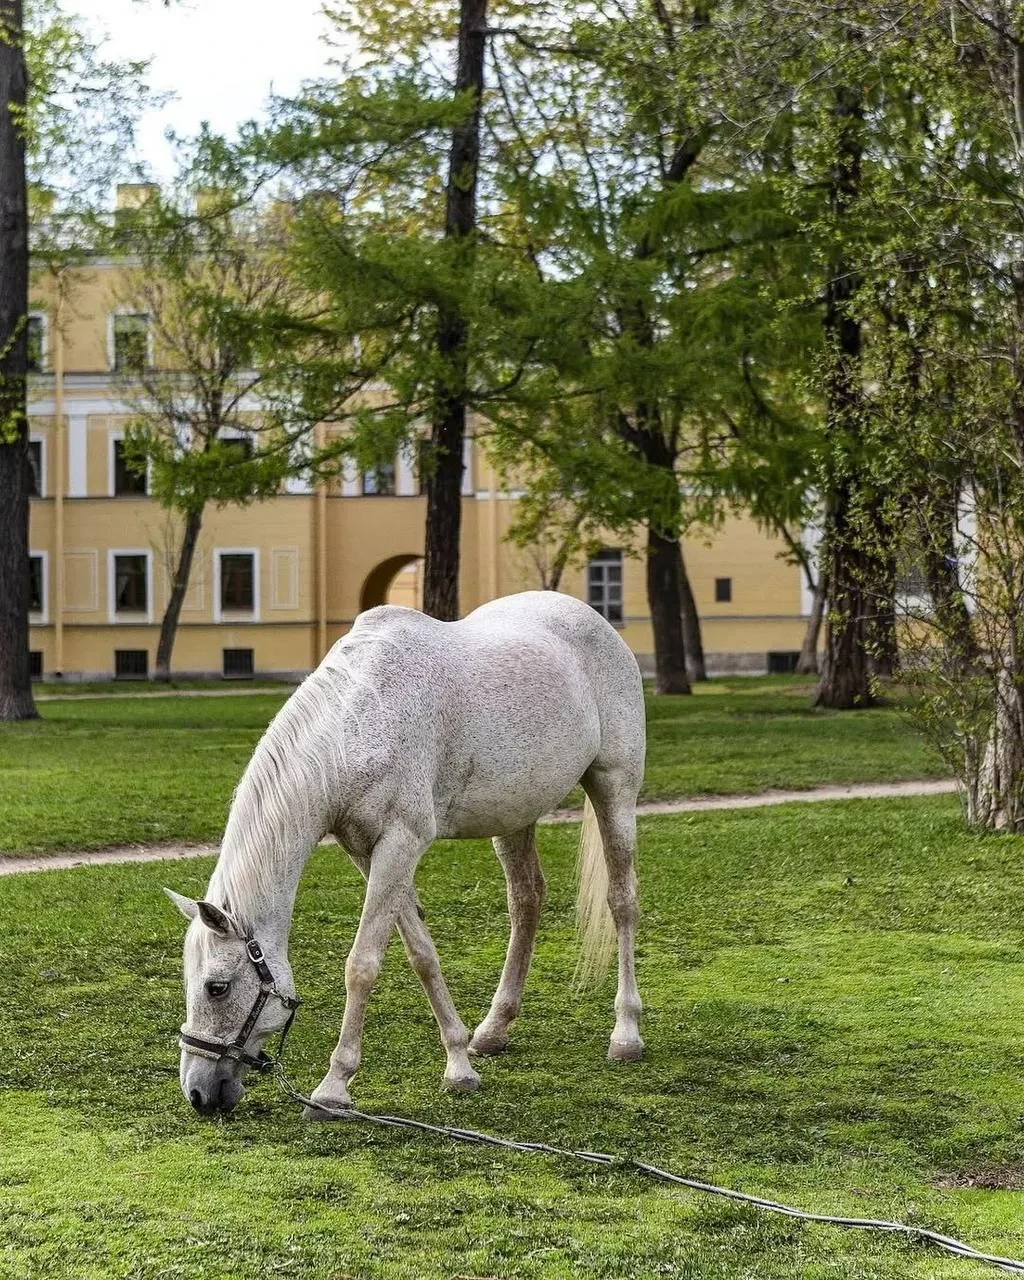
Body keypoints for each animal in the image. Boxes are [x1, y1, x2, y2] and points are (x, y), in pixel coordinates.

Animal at [165, 590, 647, 1117]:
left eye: (217, 987)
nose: (198, 1093)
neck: (356, 724)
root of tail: (593, 619)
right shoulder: (367, 851)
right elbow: (421, 953)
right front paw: (459, 1063)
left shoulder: (400, 843)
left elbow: (363, 964)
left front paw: (333, 1087)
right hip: (515, 816)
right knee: (527, 902)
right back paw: (493, 1030)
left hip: (615, 788)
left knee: (622, 901)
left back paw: (626, 1033)